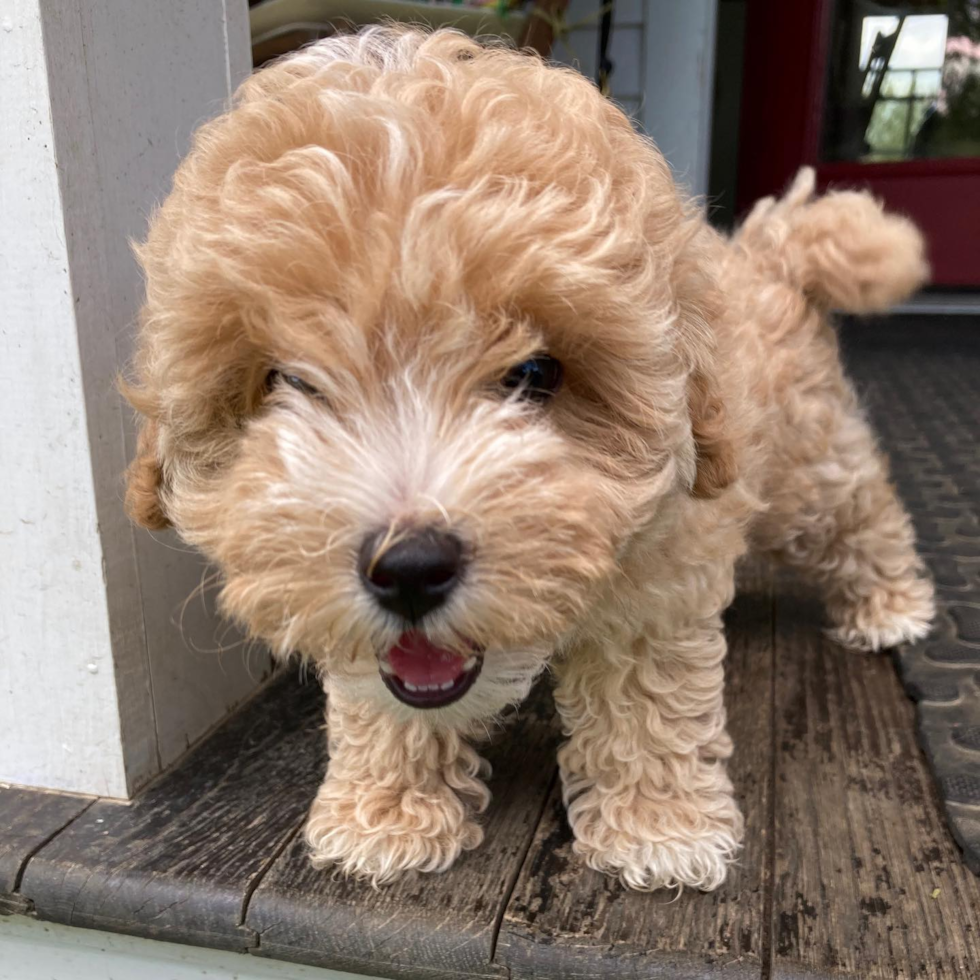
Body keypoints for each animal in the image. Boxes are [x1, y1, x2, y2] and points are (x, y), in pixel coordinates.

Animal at [124, 24, 936, 896]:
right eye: (289, 382)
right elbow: (380, 699)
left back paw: (890, 604)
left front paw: (660, 830)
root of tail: (767, 255)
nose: (409, 567)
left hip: (805, 467)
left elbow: (647, 697)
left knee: (861, 508)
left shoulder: (659, 575)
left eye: (536, 374)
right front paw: (389, 814)